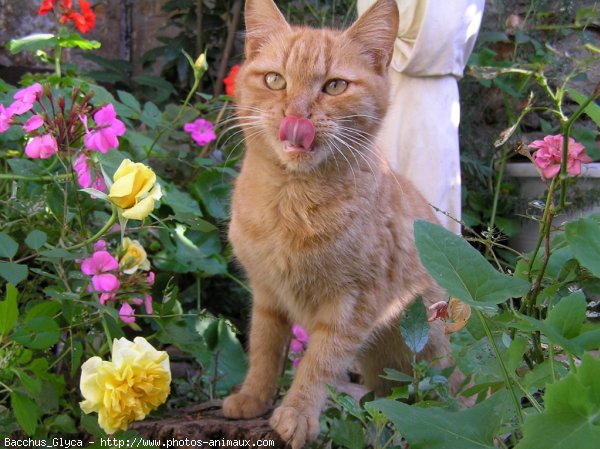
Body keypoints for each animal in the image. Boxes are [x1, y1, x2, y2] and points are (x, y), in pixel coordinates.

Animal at [225, 0, 454, 444]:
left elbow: (319, 363)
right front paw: (253, 397)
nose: (296, 114)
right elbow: (263, 350)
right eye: (275, 80)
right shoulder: (267, 295)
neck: (290, 203)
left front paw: (297, 413)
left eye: (334, 87)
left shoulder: (352, 306)